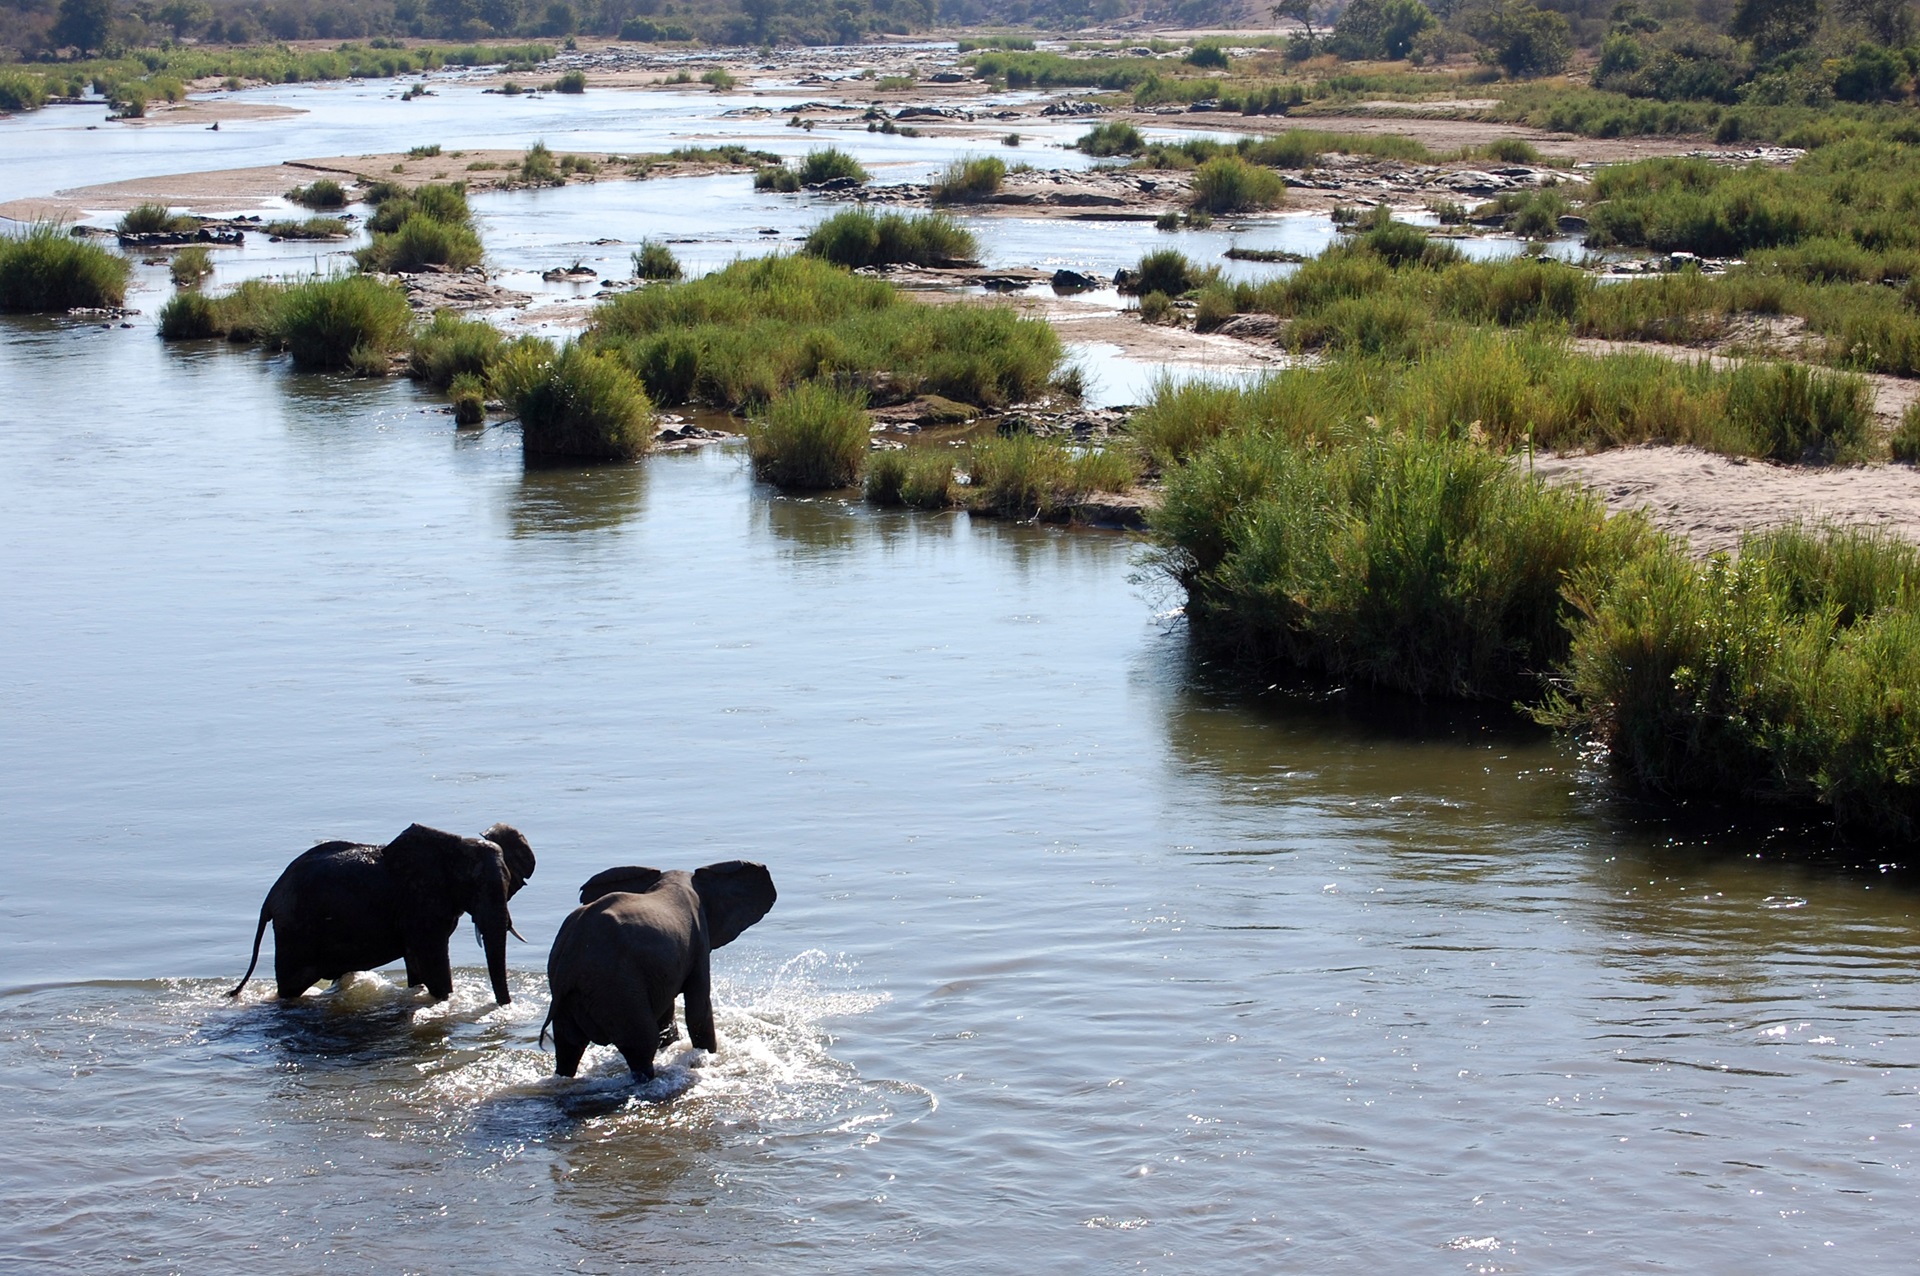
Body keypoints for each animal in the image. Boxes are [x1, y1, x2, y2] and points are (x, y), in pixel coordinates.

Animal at [230, 825, 533, 1005]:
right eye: (475, 887)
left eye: (508, 884)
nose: (504, 1006)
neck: (455, 847)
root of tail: (269, 900)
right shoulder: (419, 904)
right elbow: (433, 965)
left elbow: (416, 966)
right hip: (295, 931)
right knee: (291, 987)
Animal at [545, 859, 775, 1082]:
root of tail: (569, 956)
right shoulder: (698, 941)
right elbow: (698, 1009)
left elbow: (668, 1014)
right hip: (616, 986)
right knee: (642, 1043)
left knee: (568, 1049)